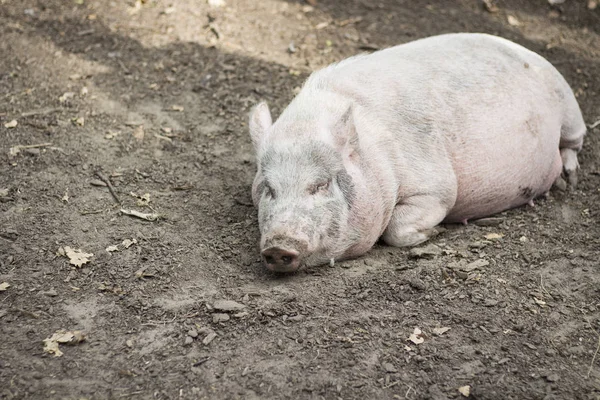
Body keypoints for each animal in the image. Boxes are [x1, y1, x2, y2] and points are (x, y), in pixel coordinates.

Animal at [248, 33, 584, 272]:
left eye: (321, 184)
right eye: (269, 188)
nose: (278, 247)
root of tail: (525, 49)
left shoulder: (437, 189)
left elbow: (398, 227)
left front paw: (435, 234)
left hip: (569, 107)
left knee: (573, 143)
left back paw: (567, 180)